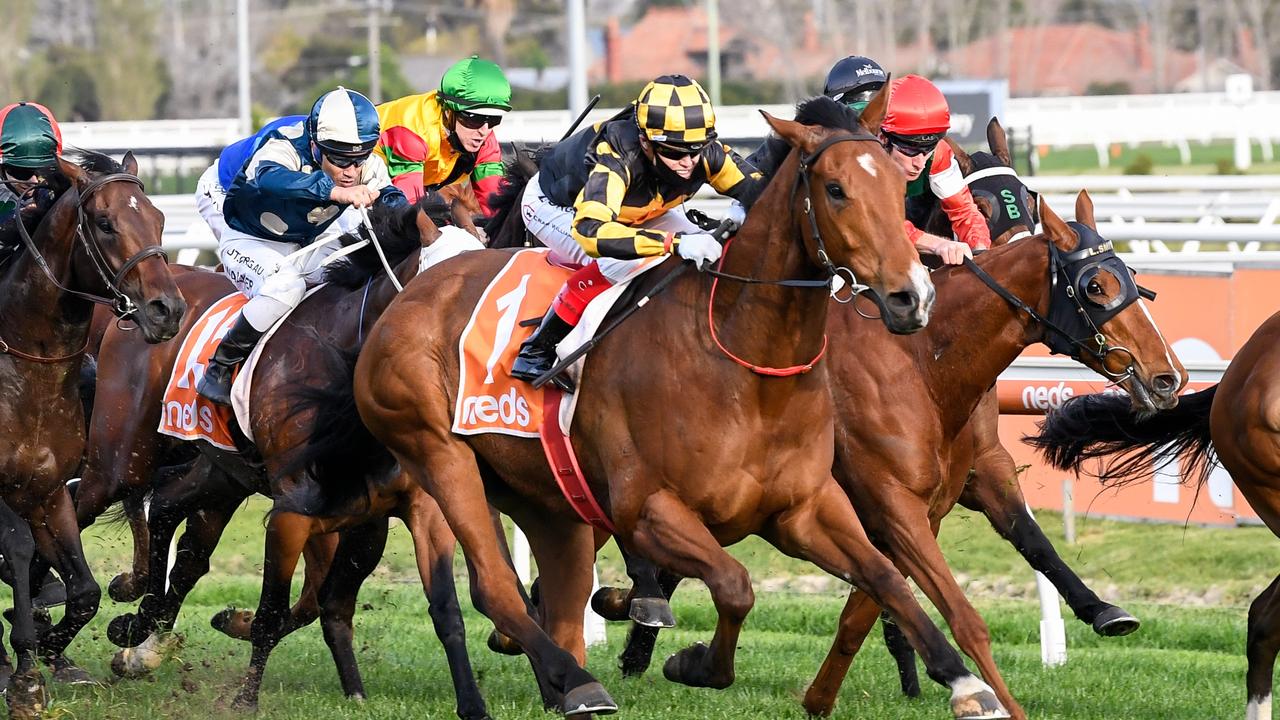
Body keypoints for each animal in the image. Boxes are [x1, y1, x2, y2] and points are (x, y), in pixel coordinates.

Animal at [0, 149, 185, 712]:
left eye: (159, 218)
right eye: (104, 223)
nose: (168, 310)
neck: (26, 369)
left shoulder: (50, 489)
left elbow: (83, 591)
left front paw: (48, 652)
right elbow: (20, 552)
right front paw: (23, 674)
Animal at [74, 196, 491, 717]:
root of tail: (139, 307)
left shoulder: (408, 508)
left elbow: (442, 609)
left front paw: (471, 702)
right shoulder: (293, 511)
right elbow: (273, 611)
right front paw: (244, 699)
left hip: (224, 470)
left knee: (172, 515)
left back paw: (137, 628)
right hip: (119, 460)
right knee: (84, 505)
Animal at [335, 92, 1024, 712]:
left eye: (897, 186)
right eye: (835, 190)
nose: (913, 297)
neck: (745, 367)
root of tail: (409, 291)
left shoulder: (806, 508)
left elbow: (885, 580)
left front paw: (965, 681)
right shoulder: (649, 511)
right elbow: (736, 585)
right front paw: (692, 662)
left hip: (543, 496)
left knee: (554, 596)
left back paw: (564, 682)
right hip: (438, 456)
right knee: (496, 587)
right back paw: (579, 682)